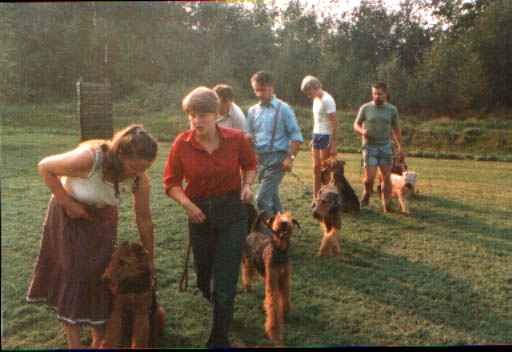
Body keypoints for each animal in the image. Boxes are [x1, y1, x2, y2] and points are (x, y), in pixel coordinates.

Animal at [241, 210, 300, 346]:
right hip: (248, 261)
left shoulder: (284, 279)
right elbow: (273, 304)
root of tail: (254, 231)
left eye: (289, 217)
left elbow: (285, 297)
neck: (280, 252)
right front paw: (274, 331)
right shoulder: (273, 281)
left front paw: (286, 312)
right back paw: (247, 286)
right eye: (278, 216)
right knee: (246, 273)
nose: (284, 223)